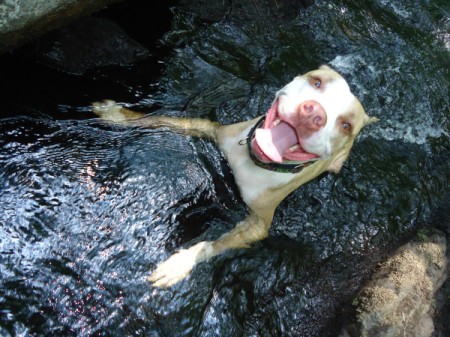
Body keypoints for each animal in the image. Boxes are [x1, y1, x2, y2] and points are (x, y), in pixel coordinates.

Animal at [93, 65, 378, 286]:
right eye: (316, 82)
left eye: (345, 125)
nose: (315, 114)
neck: (252, 160)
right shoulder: (211, 130)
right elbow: (164, 120)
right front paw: (119, 115)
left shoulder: (258, 225)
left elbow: (214, 244)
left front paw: (180, 264)